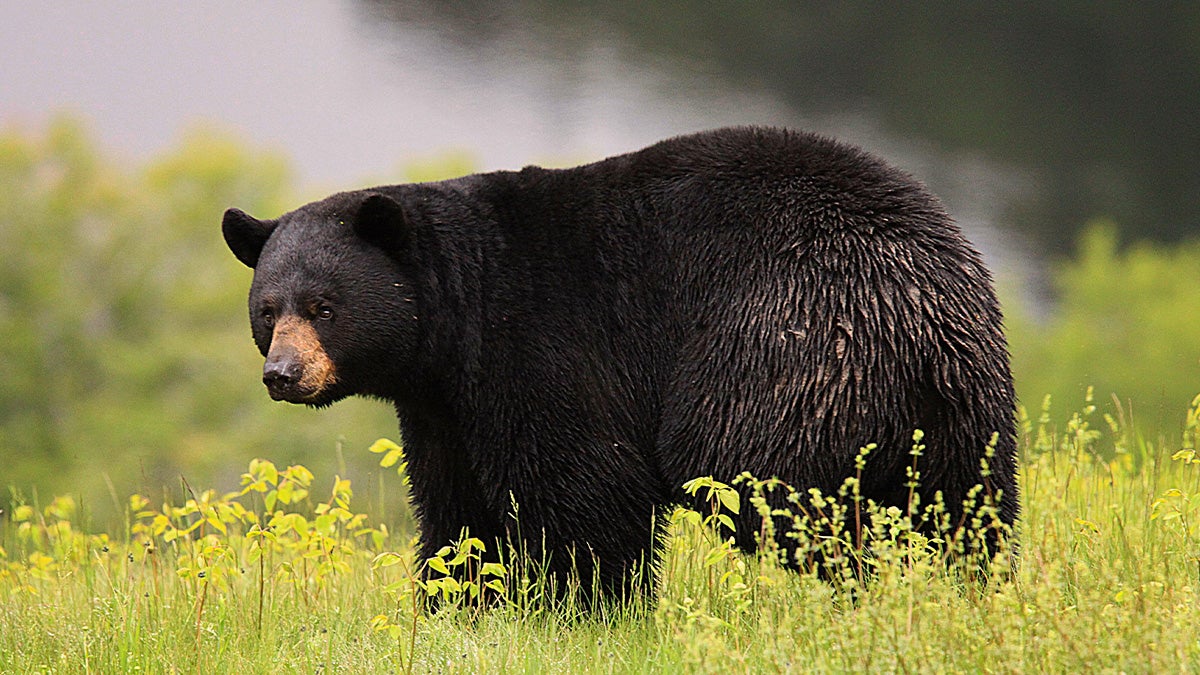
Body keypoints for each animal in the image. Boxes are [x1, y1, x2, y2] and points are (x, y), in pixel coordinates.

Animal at [222, 126, 1018, 600]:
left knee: (772, 489)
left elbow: (587, 493)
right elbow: (456, 511)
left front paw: (585, 608)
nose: (283, 374)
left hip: (777, 356)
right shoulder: (443, 408)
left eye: (325, 307)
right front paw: (456, 602)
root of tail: (917, 308)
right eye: (268, 309)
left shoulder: (548, 347)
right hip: (964, 406)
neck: (456, 324)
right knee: (971, 510)